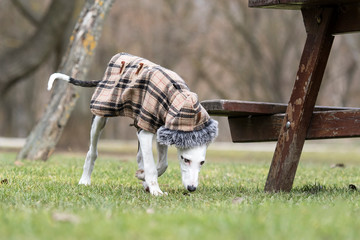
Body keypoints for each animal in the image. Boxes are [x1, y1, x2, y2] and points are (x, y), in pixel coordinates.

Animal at [47, 52, 217, 195]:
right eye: (185, 159)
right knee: (92, 152)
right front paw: (155, 190)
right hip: (100, 116)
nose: (191, 188)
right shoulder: (146, 132)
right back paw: (85, 180)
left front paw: (143, 178)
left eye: (202, 162)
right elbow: (151, 165)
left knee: (139, 156)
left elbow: (163, 164)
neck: (178, 99)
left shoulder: (163, 131)